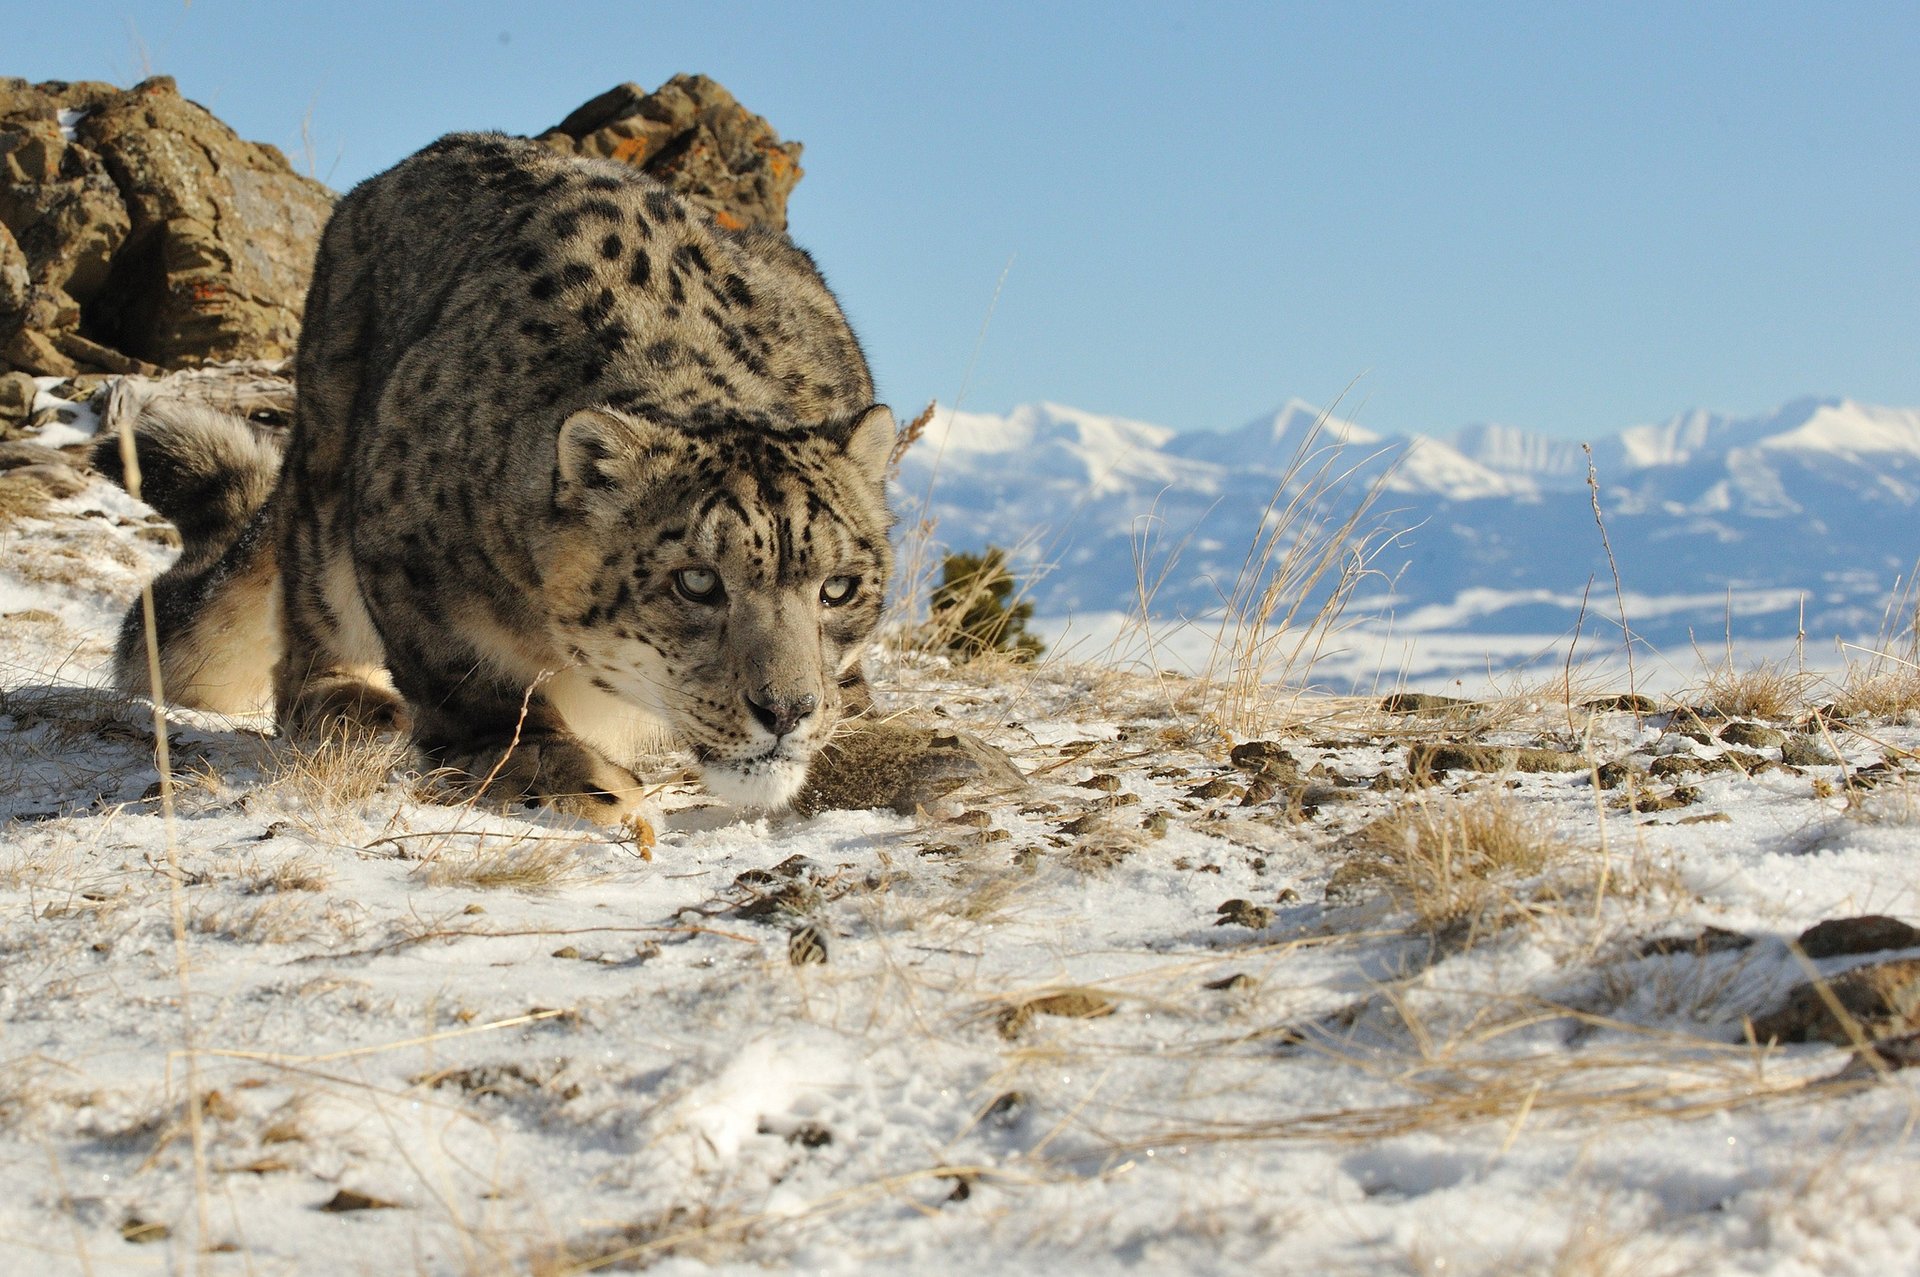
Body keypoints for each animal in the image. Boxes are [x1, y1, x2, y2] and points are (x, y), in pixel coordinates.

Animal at [98, 132, 907, 825]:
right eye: (697, 582)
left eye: (839, 587)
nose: (787, 710)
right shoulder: (405, 548)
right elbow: (473, 682)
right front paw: (574, 775)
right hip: (327, 464)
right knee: (305, 619)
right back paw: (348, 699)